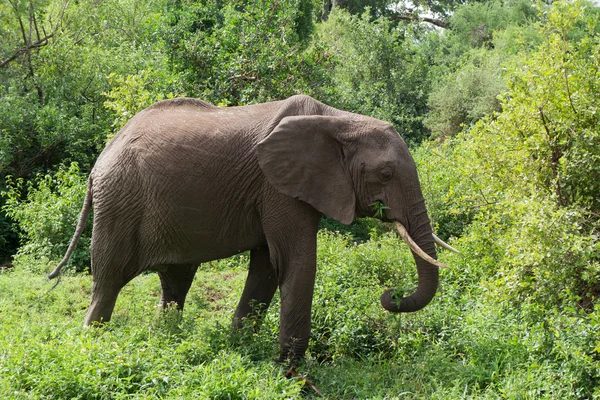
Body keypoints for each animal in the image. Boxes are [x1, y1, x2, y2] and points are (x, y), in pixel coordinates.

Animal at [49, 95, 458, 364]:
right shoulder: (278, 186)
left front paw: (239, 349)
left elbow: (267, 266)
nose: (391, 295)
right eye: (386, 174)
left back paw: (164, 339)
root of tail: (102, 156)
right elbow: (295, 261)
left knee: (176, 281)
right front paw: (291, 373)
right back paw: (92, 343)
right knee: (108, 280)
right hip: (120, 201)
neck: (340, 120)